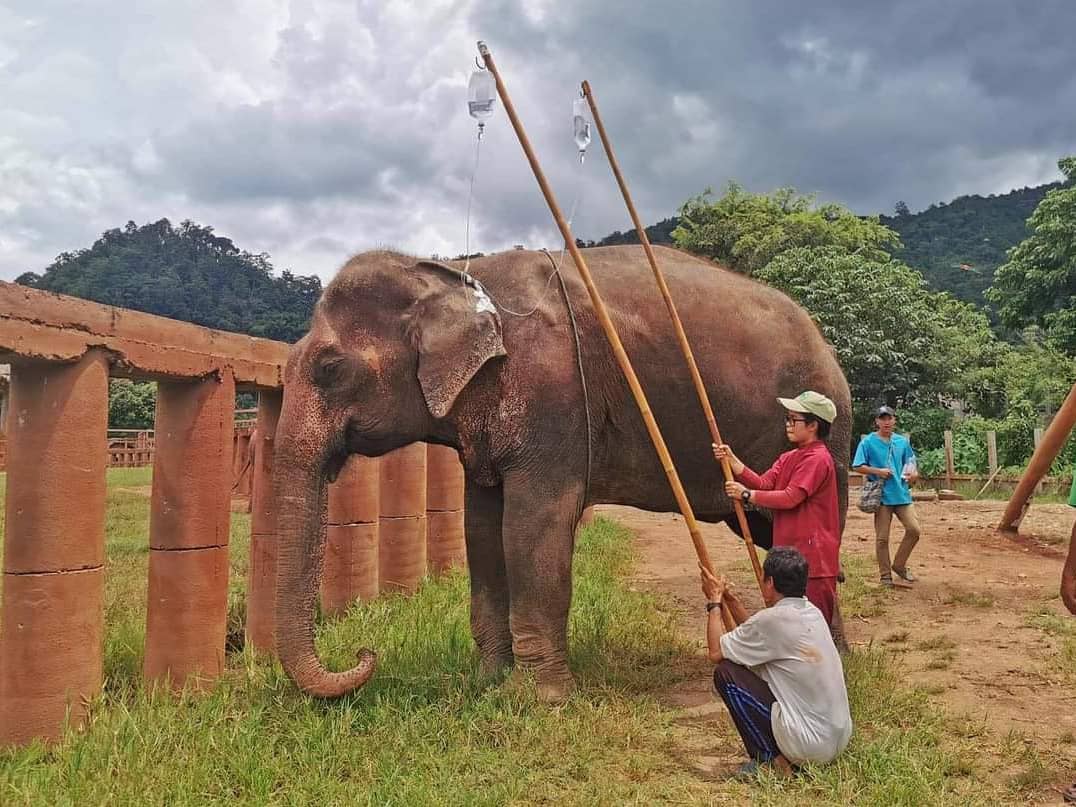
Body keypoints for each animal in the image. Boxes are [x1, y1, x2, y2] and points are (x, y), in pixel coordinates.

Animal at [272, 245, 851, 702]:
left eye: (329, 368)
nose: (364, 654)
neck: (460, 270)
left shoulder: (555, 398)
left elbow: (531, 527)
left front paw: (538, 699)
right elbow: (482, 529)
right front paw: (487, 684)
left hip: (829, 436)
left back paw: (833, 657)